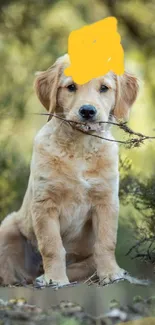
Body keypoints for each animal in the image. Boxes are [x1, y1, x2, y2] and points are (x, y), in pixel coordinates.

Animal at [0, 54, 139, 284]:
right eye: (71, 87)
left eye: (104, 88)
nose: (87, 111)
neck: (80, 148)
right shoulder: (45, 203)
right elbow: (52, 246)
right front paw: (55, 279)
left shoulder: (106, 201)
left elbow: (106, 242)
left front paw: (111, 273)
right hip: (7, 227)